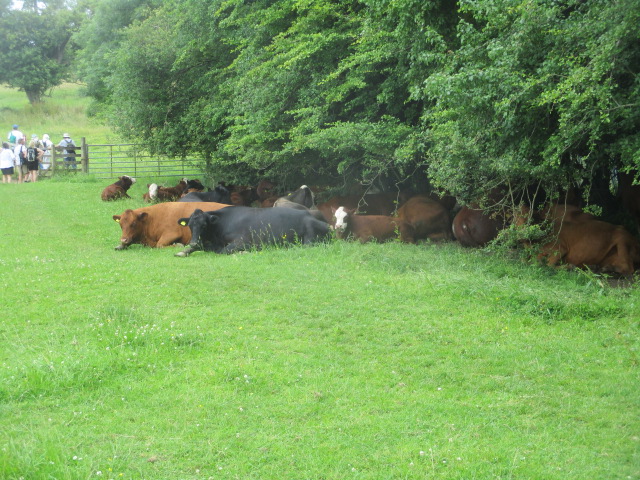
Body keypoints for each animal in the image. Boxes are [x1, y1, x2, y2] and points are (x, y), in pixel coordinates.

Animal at [175, 207, 330, 258]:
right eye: (190, 225)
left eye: (204, 225)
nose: (193, 241)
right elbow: (199, 246)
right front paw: (183, 251)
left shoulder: (243, 241)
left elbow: (224, 251)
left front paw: (242, 253)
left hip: (309, 238)